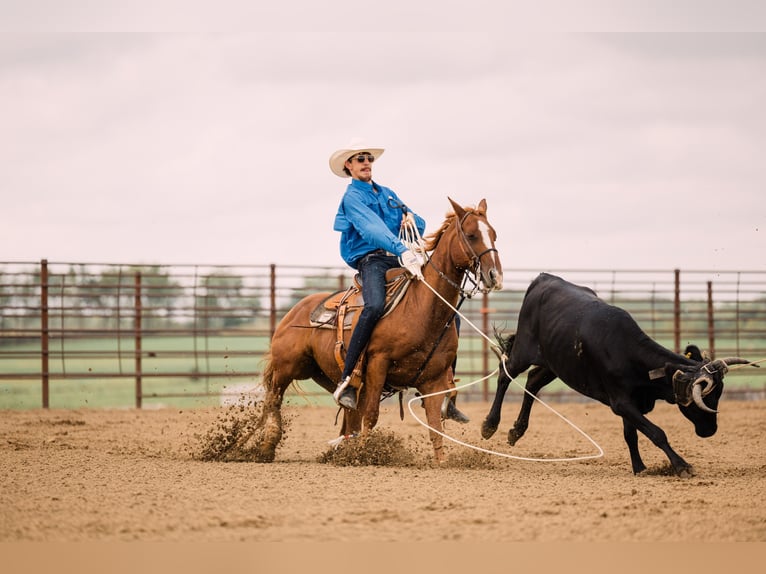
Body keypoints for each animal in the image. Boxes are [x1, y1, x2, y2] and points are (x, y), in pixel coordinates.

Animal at [252, 198, 503, 463]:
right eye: (472, 235)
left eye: (493, 235)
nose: (494, 276)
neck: (421, 308)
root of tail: (294, 311)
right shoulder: (377, 365)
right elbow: (371, 415)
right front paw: (364, 454)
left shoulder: (434, 380)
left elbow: (435, 426)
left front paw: (442, 461)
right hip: (288, 367)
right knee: (274, 400)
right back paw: (266, 447)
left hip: (326, 375)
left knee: (348, 414)